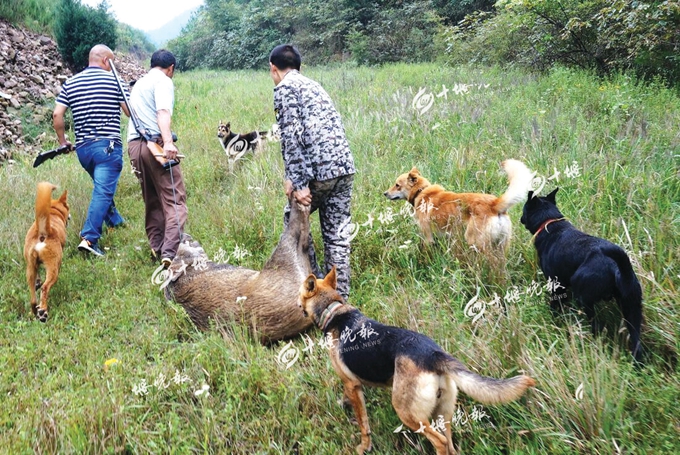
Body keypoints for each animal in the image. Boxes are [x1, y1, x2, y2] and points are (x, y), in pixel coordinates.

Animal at [23, 180, 69, 322]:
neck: (53, 212)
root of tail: (43, 232)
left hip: (30, 268)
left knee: (33, 297)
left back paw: (36, 311)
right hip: (53, 269)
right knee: (45, 287)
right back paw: (43, 311)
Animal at [298, 268, 536, 455]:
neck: (332, 310)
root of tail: (433, 354)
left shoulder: (352, 384)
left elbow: (363, 424)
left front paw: (363, 447)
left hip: (408, 413)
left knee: (440, 442)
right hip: (444, 413)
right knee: (450, 445)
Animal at [386, 159, 532, 256]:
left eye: (397, 185)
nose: (385, 193)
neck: (421, 192)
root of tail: (494, 204)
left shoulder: (428, 237)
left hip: (475, 242)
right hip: (501, 246)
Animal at [520, 189, 644, 364]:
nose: (520, 218)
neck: (550, 224)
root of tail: (617, 269)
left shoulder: (556, 286)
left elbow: (555, 306)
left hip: (585, 299)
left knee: (596, 327)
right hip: (632, 308)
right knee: (636, 342)